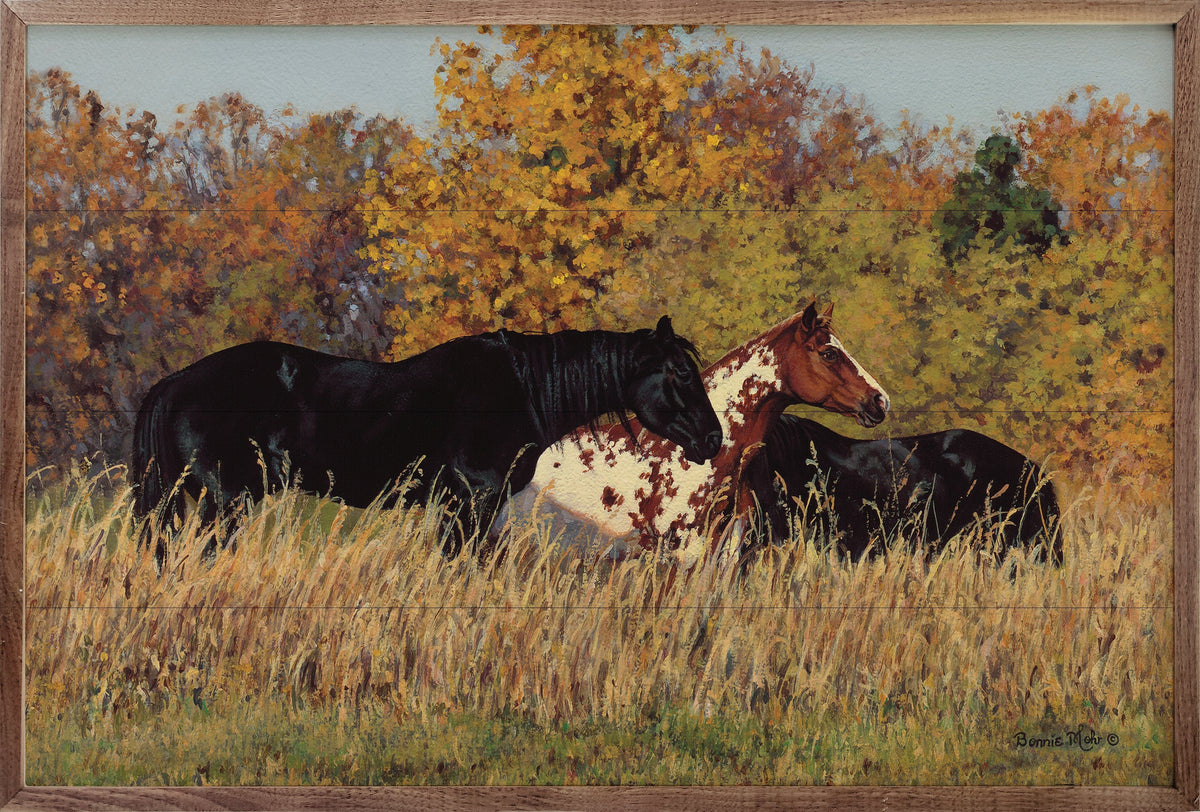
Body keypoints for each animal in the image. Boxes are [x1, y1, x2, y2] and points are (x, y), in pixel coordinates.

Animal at [130, 316, 724, 567]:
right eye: (679, 372)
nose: (714, 438)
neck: (520, 388)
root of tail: (171, 383)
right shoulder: (474, 501)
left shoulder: (459, 507)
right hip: (225, 503)